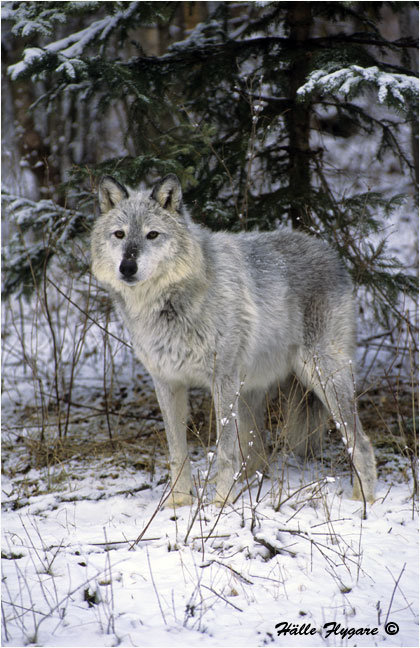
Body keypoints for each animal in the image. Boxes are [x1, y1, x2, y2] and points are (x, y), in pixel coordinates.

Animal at [91, 173, 377, 507]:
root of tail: (329, 251)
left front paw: (220, 505)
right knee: (259, 453)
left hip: (321, 376)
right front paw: (178, 503)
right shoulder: (166, 382)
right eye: (119, 234)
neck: (168, 305)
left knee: (362, 443)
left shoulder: (222, 380)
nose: (127, 267)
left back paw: (364, 502)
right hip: (253, 391)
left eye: (152, 235)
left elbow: (225, 451)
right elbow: (177, 452)